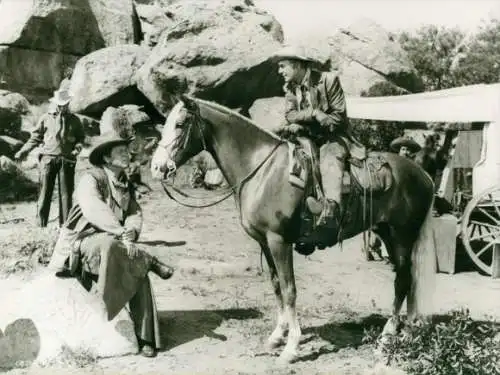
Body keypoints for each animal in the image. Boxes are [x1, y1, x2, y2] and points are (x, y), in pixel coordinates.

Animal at [150, 95, 436, 366]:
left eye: (180, 124)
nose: (157, 167)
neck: (262, 171)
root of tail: (424, 174)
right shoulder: (264, 242)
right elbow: (277, 286)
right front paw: (277, 335)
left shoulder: (279, 241)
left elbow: (289, 290)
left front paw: (291, 347)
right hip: (387, 233)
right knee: (408, 281)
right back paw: (407, 334)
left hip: (401, 235)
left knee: (402, 281)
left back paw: (387, 338)